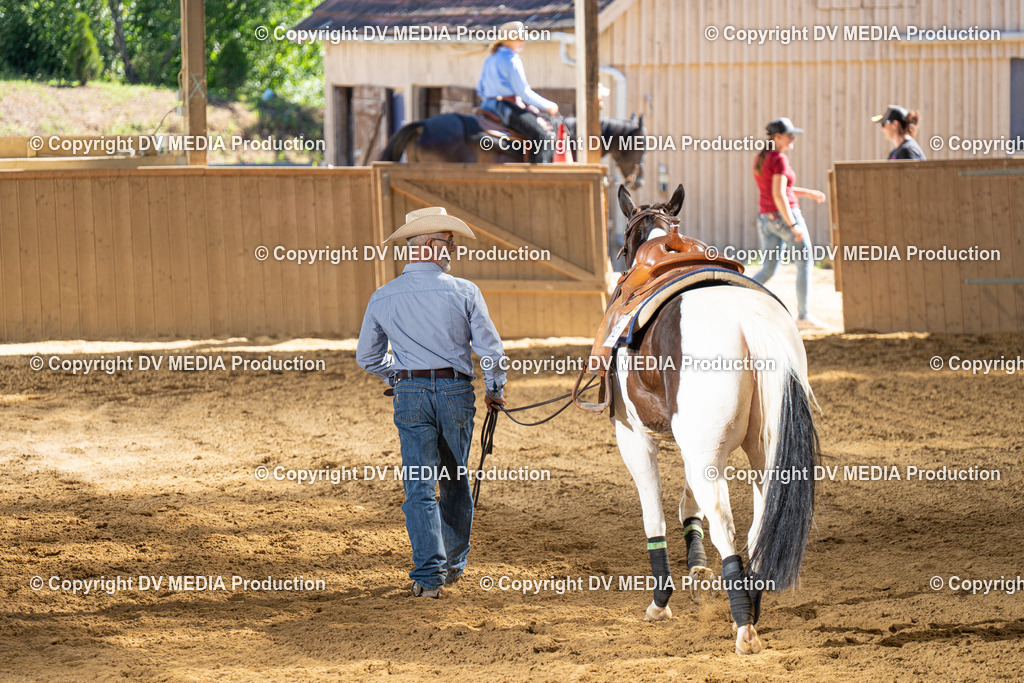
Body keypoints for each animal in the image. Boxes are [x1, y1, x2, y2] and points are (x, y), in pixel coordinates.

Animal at [609, 184, 820, 654]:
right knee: (758, 526)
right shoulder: (694, 443)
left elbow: (654, 513)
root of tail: (748, 319)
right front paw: (696, 563)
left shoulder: (633, 436)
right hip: (760, 453)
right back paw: (750, 606)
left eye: (624, 244)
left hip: (706, 454)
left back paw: (743, 626)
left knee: (726, 526)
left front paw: (661, 601)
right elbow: (688, 506)